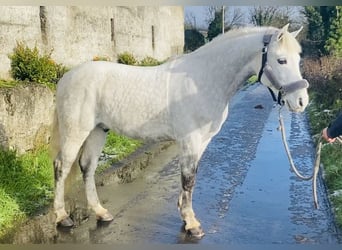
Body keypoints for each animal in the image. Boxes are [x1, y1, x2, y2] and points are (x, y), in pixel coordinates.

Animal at [51, 24, 310, 239]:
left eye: (298, 59)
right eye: (281, 60)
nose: (301, 101)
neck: (204, 80)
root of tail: (67, 77)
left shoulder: (202, 141)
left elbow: (190, 177)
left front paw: (185, 218)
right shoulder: (190, 140)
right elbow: (188, 179)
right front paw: (192, 224)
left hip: (98, 130)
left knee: (87, 167)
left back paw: (101, 212)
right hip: (76, 131)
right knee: (62, 167)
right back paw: (62, 218)